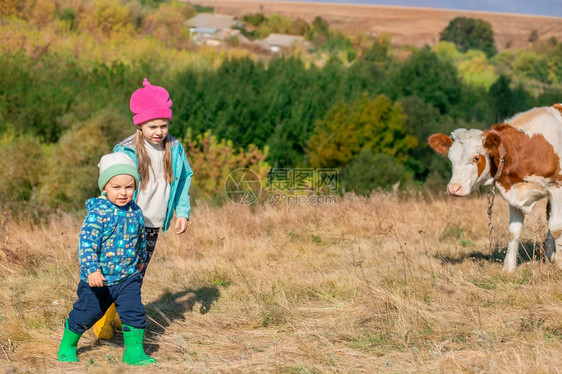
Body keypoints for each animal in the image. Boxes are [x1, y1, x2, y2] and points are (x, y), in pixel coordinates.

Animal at [426, 104, 560, 272]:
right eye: (451, 159)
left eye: (476, 158)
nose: (453, 188)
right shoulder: (514, 192)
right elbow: (514, 230)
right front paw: (508, 269)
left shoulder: (557, 189)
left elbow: (556, 228)